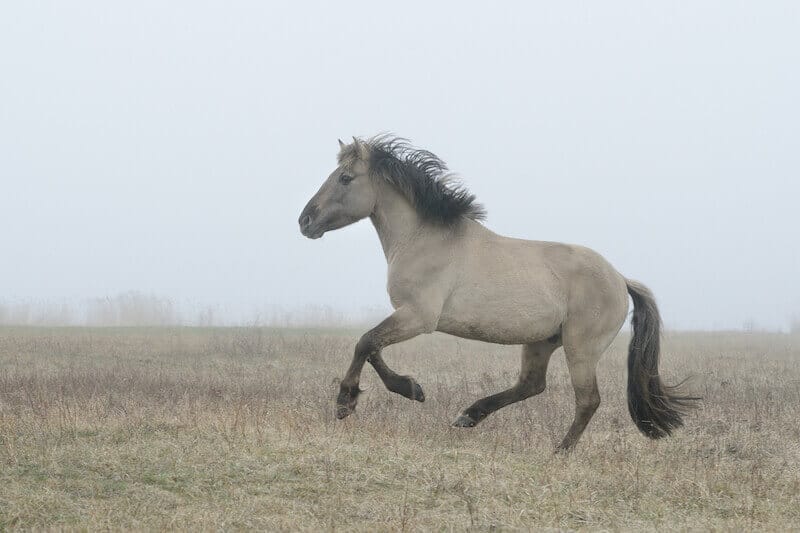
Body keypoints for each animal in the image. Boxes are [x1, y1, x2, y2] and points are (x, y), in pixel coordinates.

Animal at [298, 135, 695, 450]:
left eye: (345, 178)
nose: (304, 221)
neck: (424, 239)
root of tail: (620, 279)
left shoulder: (418, 317)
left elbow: (365, 342)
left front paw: (347, 401)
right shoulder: (409, 316)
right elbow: (373, 347)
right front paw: (412, 388)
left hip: (580, 348)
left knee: (587, 401)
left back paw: (559, 453)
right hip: (541, 341)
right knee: (532, 385)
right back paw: (469, 416)